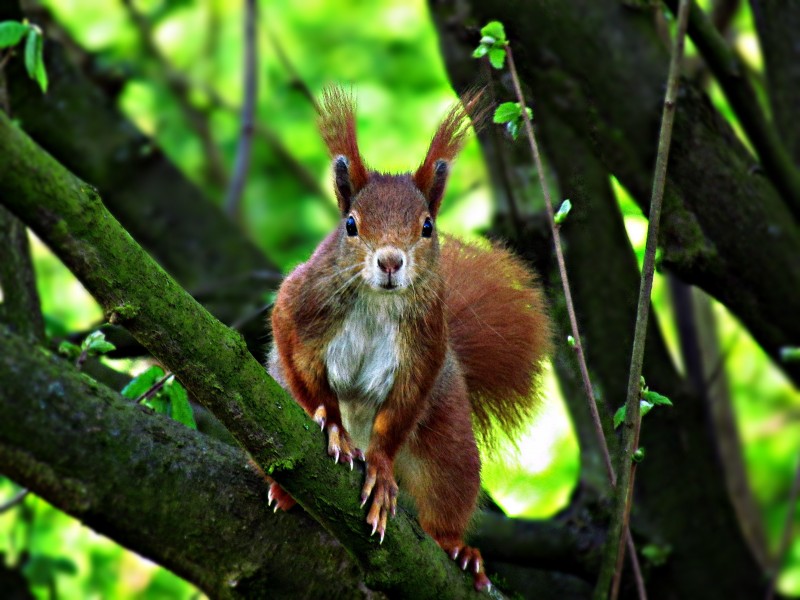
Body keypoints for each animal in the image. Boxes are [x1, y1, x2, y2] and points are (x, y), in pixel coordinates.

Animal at [266, 88, 552, 592]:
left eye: (426, 227)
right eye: (351, 225)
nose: (390, 261)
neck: (378, 302)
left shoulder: (427, 344)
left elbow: (401, 407)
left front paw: (379, 468)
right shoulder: (299, 302)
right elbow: (296, 360)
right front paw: (331, 422)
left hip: (448, 443)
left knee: (446, 496)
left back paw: (457, 548)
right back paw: (286, 490)